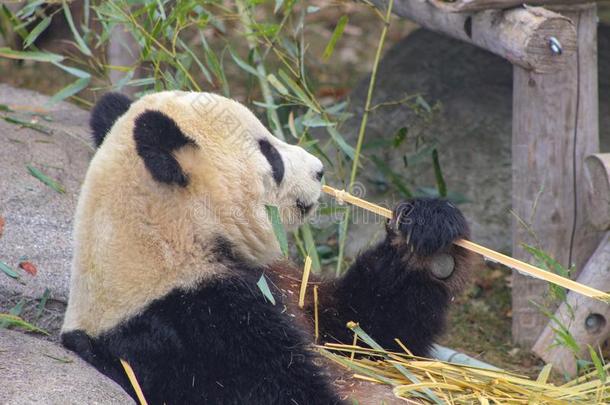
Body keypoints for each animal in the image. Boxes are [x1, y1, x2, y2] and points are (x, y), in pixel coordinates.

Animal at [60, 90, 470, 402]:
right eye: (270, 154)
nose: (319, 170)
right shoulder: (194, 329)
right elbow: (278, 387)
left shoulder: (282, 284)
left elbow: (364, 331)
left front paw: (428, 236)